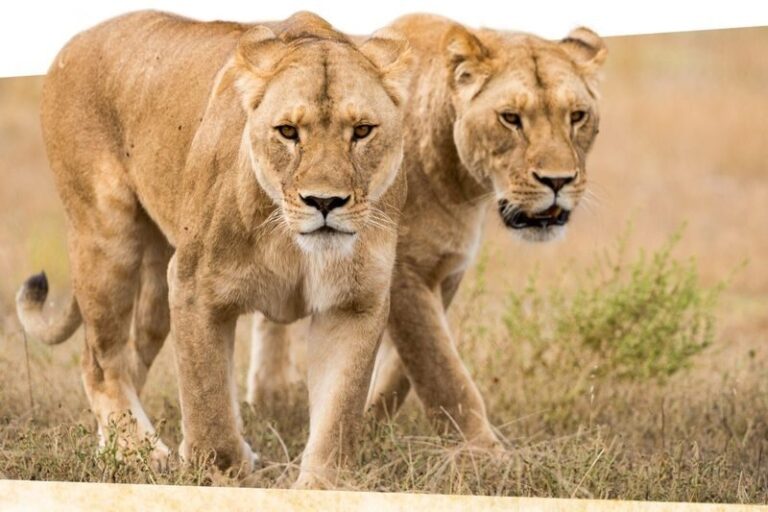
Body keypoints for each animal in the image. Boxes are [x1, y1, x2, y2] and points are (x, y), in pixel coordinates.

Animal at [15, 10, 412, 489]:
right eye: (288, 132)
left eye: (362, 131)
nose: (324, 202)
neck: (292, 243)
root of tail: (74, 41)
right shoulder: (195, 288)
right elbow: (208, 402)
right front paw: (220, 473)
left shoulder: (354, 303)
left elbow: (339, 412)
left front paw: (321, 487)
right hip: (107, 236)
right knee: (99, 359)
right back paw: (136, 454)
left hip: (155, 285)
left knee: (131, 355)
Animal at [247, 14, 607, 448]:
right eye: (510, 118)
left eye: (577, 116)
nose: (557, 180)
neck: (462, 184)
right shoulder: (400, 269)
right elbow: (441, 369)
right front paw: (485, 455)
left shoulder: (445, 269)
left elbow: (404, 367)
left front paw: (370, 426)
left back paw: (271, 398)